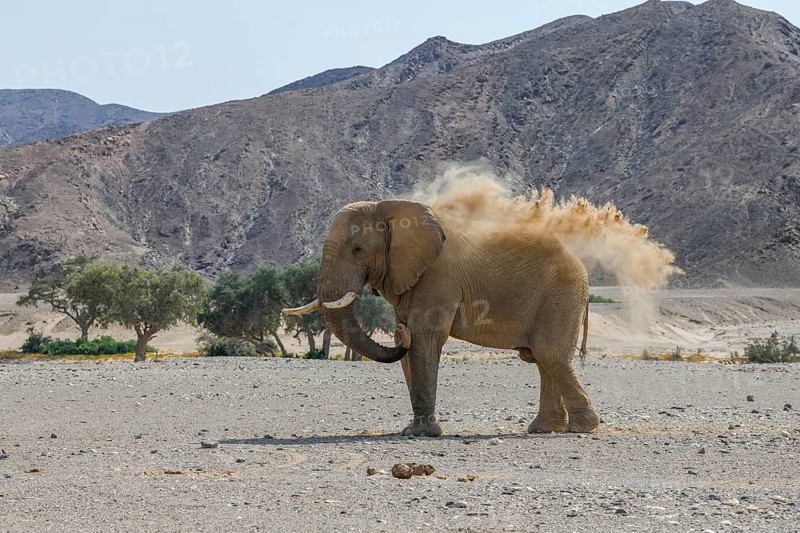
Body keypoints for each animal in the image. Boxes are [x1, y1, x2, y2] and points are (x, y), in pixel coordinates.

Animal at [283, 199, 600, 437]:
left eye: (357, 249)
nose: (398, 329)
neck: (389, 209)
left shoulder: (438, 276)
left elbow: (424, 336)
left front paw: (421, 434)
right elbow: (411, 345)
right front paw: (412, 430)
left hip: (560, 297)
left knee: (549, 356)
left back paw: (580, 428)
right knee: (543, 360)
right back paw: (544, 429)